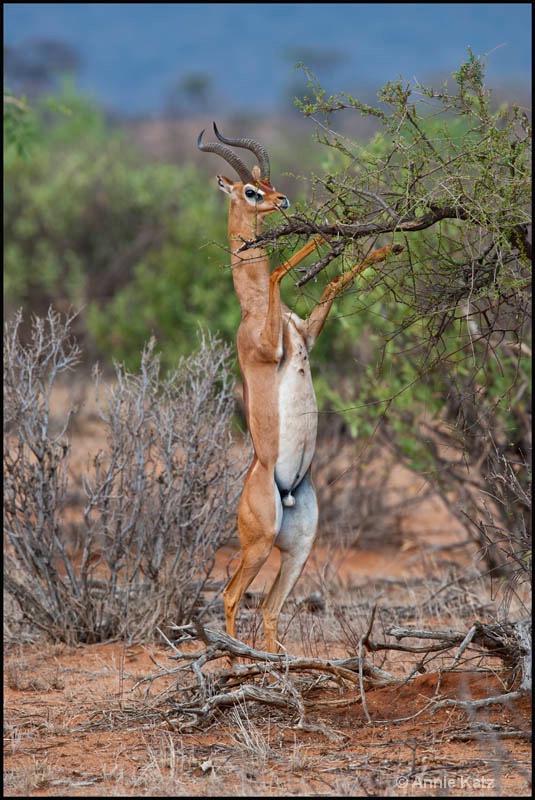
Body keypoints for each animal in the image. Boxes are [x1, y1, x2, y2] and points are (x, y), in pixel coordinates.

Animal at [199, 123, 400, 648]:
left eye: (267, 183)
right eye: (251, 191)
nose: (283, 200)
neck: (249, 310)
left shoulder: (307, 334)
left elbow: (329, 286)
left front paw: (382, 246)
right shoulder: (270, 348)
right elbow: (276, 271)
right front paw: (323, 229)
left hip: (301, 544)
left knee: (269, 608)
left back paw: (275, 665)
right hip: (260, 542)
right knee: (231, 595)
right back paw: (241, 662)